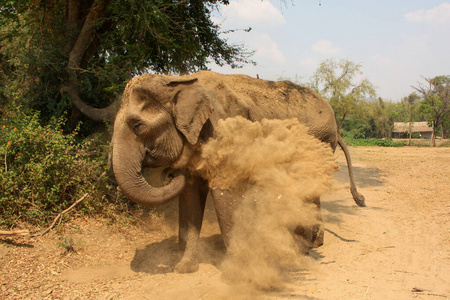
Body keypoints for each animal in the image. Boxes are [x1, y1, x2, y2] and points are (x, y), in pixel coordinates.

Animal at [110, 71, 366, 274]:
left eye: (138, 126)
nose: (171, 174)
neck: (179, 80)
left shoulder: (225, 131)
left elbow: (227, 193)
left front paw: (237, 269)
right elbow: (191, 195)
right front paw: (184, 267)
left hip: (320, 141)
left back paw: (304, 248)